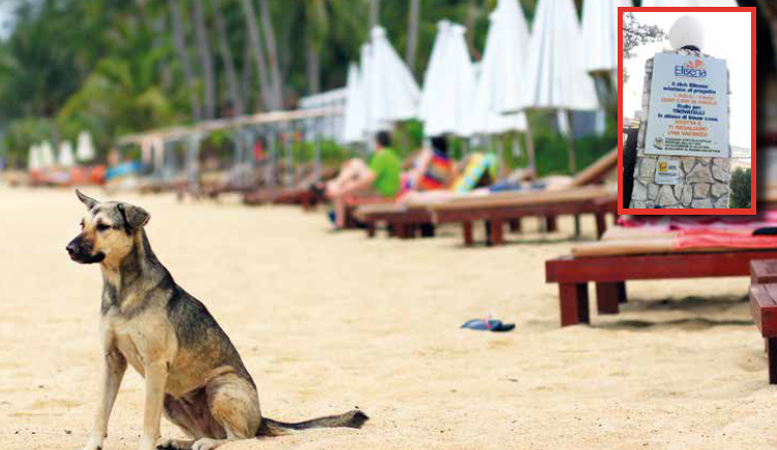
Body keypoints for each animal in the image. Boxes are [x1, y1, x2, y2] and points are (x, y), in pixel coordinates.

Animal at [66, 191, 366, 450]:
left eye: (104, 226)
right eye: (82, 224)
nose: (69, 248)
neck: (120, 289)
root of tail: (260, 418)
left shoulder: (155, 364)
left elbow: (148, 420)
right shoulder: (113, 360)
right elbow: (101, 412)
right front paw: (92, 445)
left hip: (218, 387)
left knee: (240, 438)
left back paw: (208, 443)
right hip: (170, 400)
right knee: (209, 434)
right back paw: (180, 442)